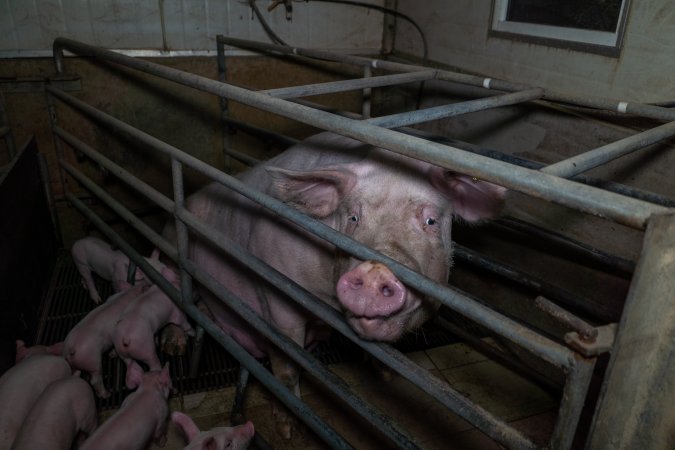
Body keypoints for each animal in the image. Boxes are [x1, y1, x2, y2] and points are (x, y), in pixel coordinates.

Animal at [162, 132, 502, 434]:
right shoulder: (274, 293)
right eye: (352, 218)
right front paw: (289, 429)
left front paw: (386, 374)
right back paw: (174, 346)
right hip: (171, 248)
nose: (375, 270)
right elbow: (287, 365)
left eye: (430, 221)